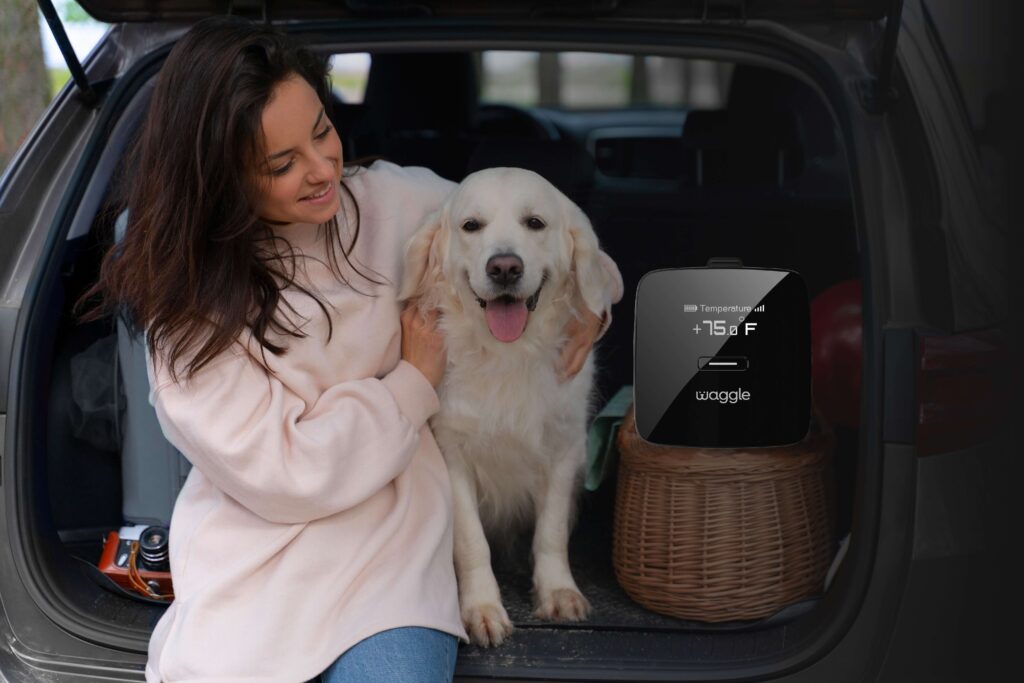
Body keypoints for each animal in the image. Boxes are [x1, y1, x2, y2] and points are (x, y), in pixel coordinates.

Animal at [399, 167, 622, 651]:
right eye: (471, 226)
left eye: (535, 223)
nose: (504, 267)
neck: (508, 354)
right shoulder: (452, 454)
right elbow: (471, 542)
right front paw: (482, 608)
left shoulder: (564, 448)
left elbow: (551, 533)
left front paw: (557, 591)